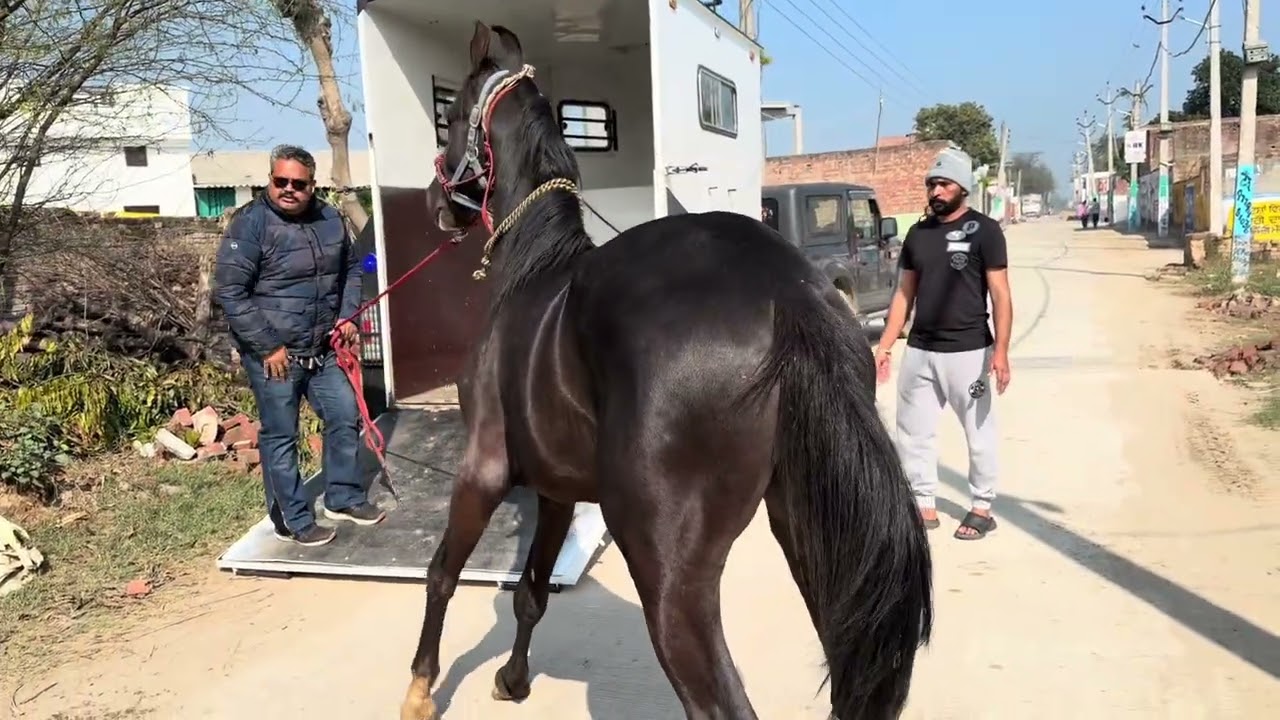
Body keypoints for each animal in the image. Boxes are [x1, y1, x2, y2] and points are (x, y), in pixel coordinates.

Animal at [400, 21, 933, 720]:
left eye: (454, 113)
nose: (434, 201)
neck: (533, 269)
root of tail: (784, 291)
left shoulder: (483, 469)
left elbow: (441, 573)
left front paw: (418, 689)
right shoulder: (556, 490)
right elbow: (531, 593)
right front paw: (513, 680)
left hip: (669, 572)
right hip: (817, 540)